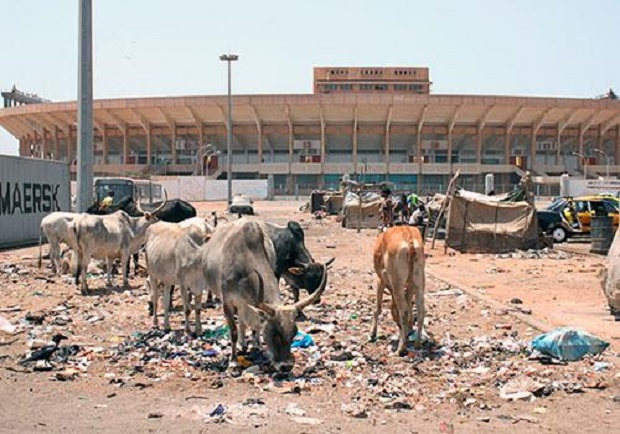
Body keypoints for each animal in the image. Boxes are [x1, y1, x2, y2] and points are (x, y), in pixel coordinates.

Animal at [370, 225, 424, 354]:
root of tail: (409, 238)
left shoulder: (380, 280)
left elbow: (377, 308)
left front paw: (373, 334)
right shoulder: (409, 286)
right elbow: (409, 304)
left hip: (397, 283)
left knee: (403, 310)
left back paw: (401, 348)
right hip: (419, 281)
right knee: (421, 311)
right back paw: (417, 343)